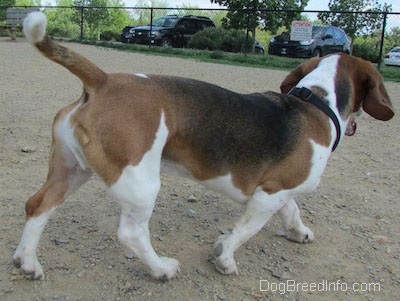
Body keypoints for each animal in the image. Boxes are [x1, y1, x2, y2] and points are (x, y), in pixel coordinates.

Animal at [14, 11, 394, 278]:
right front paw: (224, 258)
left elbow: (292, 209)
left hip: (72, 170)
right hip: (139, 182)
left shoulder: (280, 187)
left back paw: (28, 262)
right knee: (132, 234)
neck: (315, 102)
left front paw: (298, 232)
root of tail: (104, 80)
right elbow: (245, 231)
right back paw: (161, 269)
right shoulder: (268, 195)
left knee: (37, 206)